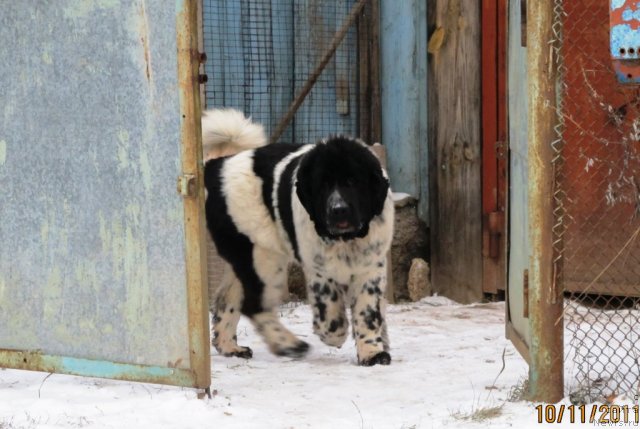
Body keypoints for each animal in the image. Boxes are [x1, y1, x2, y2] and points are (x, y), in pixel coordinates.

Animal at [204, 108, 396, 366]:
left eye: (353, 182)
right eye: (322, 185)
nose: (338, 210)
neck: (346, 239)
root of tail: (217, 166)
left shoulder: (371, 268)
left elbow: (368, 313)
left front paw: (372, 353)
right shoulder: (319, 269)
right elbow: (329, 305)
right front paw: (334, 333)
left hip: (246, 256)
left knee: (227, 299)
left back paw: (230, 347)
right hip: (263, 258)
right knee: (254, 305)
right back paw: (289, 345)